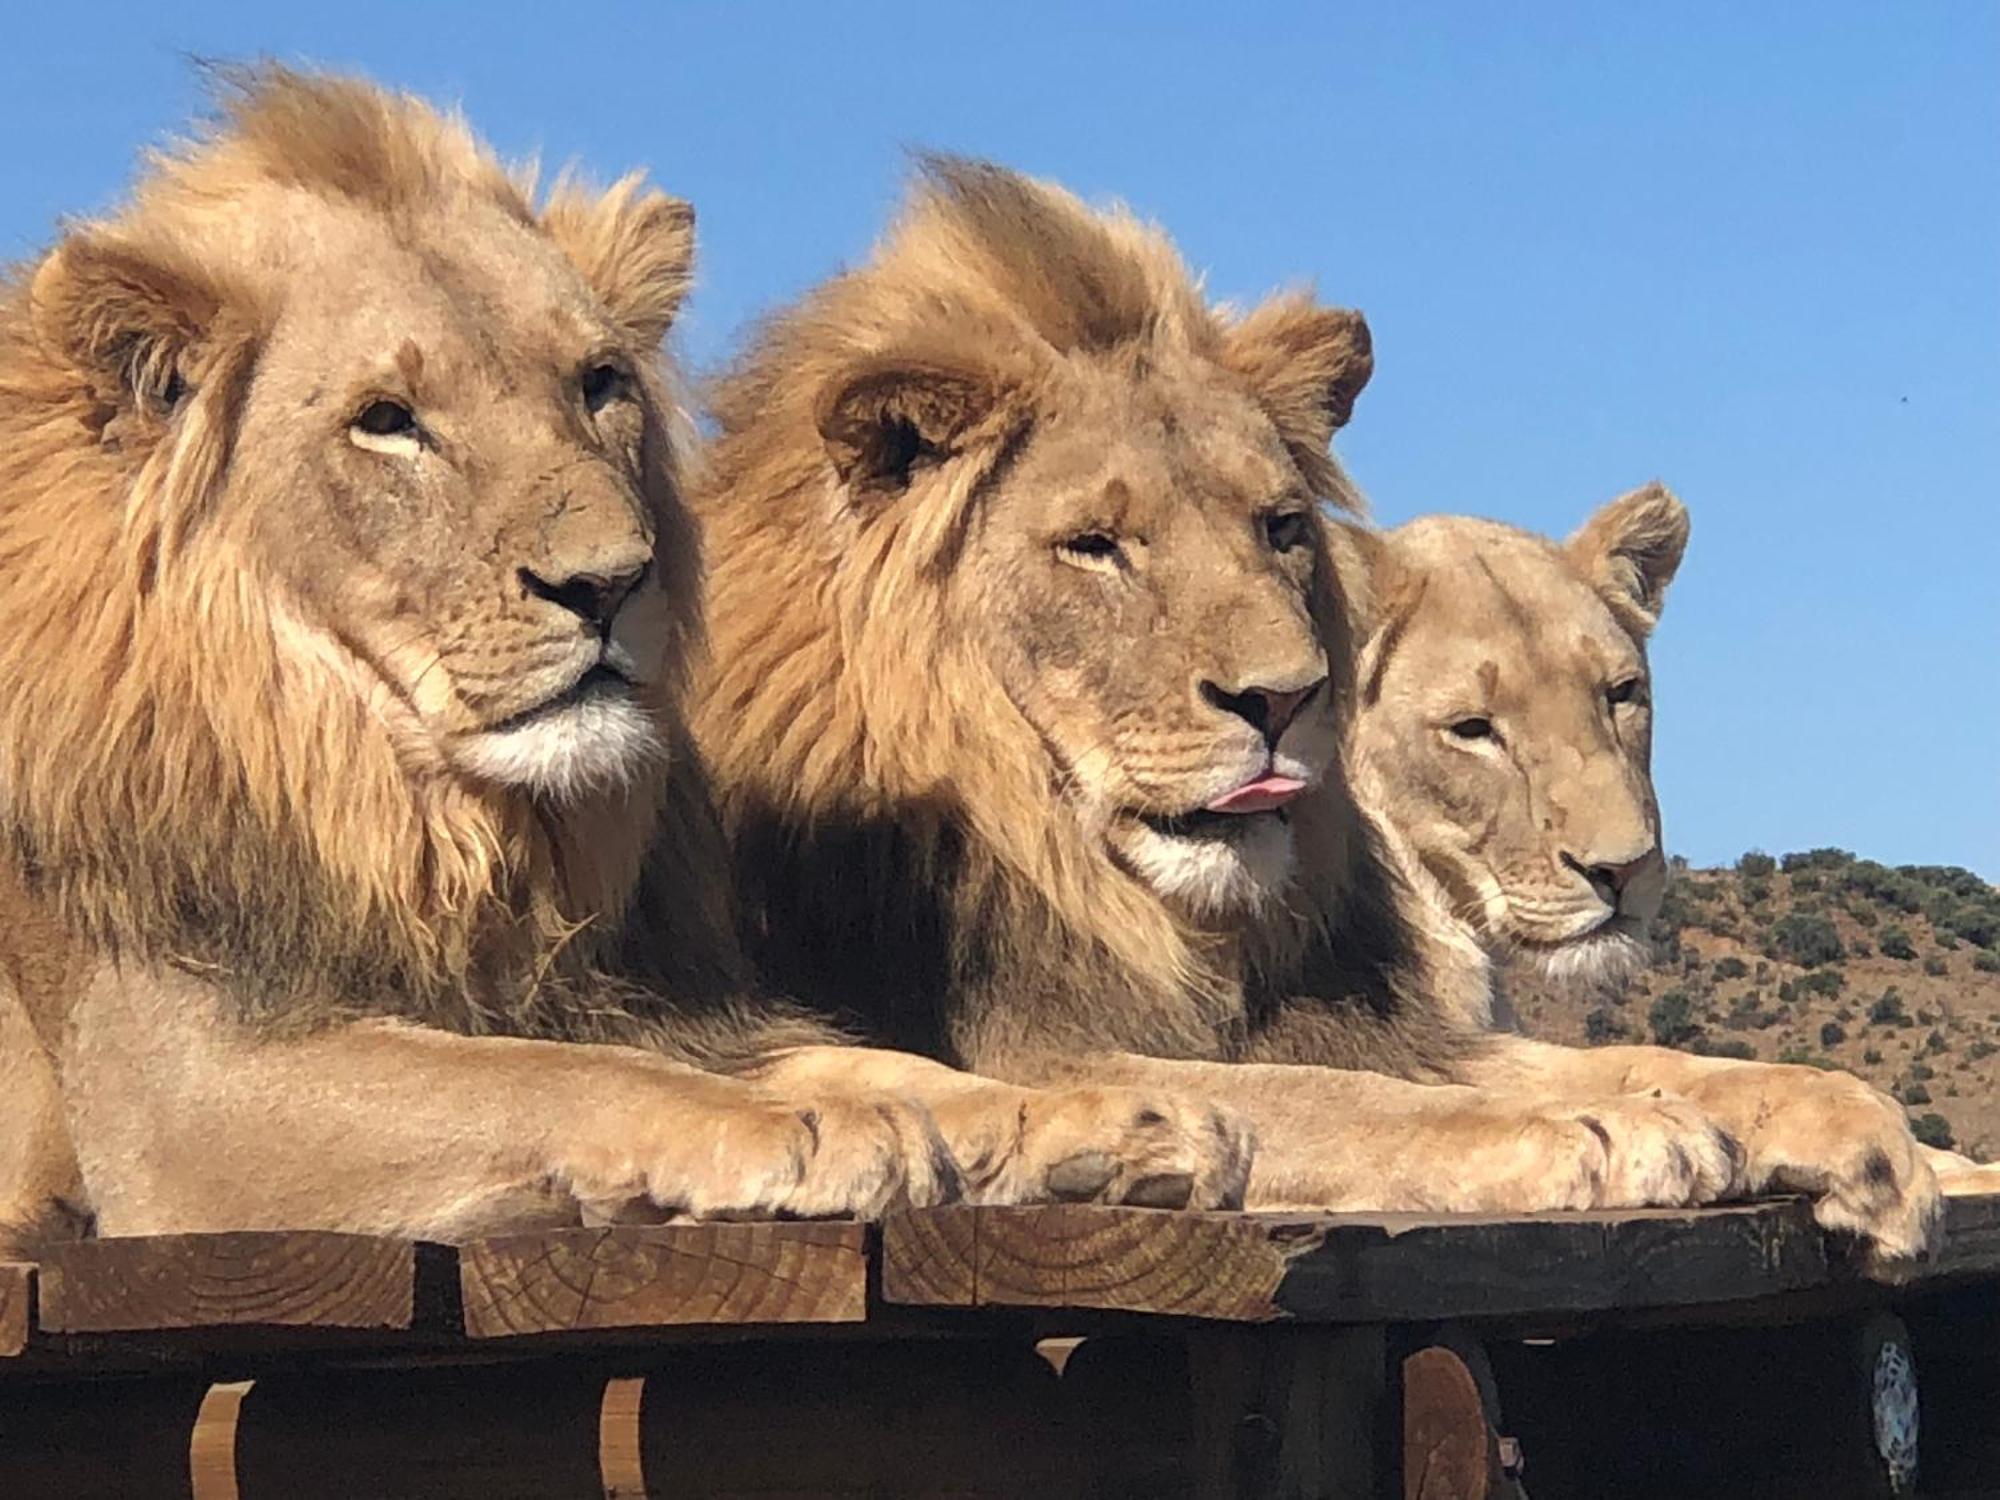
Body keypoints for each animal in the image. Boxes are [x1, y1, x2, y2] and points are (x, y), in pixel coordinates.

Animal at [0, 76, 1240, 1248]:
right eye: (386, 420)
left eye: (597, 384)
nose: (608, 582)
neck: (438, 819)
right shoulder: (183, 1098)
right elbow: (544, 1078)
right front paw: (799, 1126)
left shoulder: (657, 1002)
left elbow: (906, 1071)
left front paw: (1106, 1120)